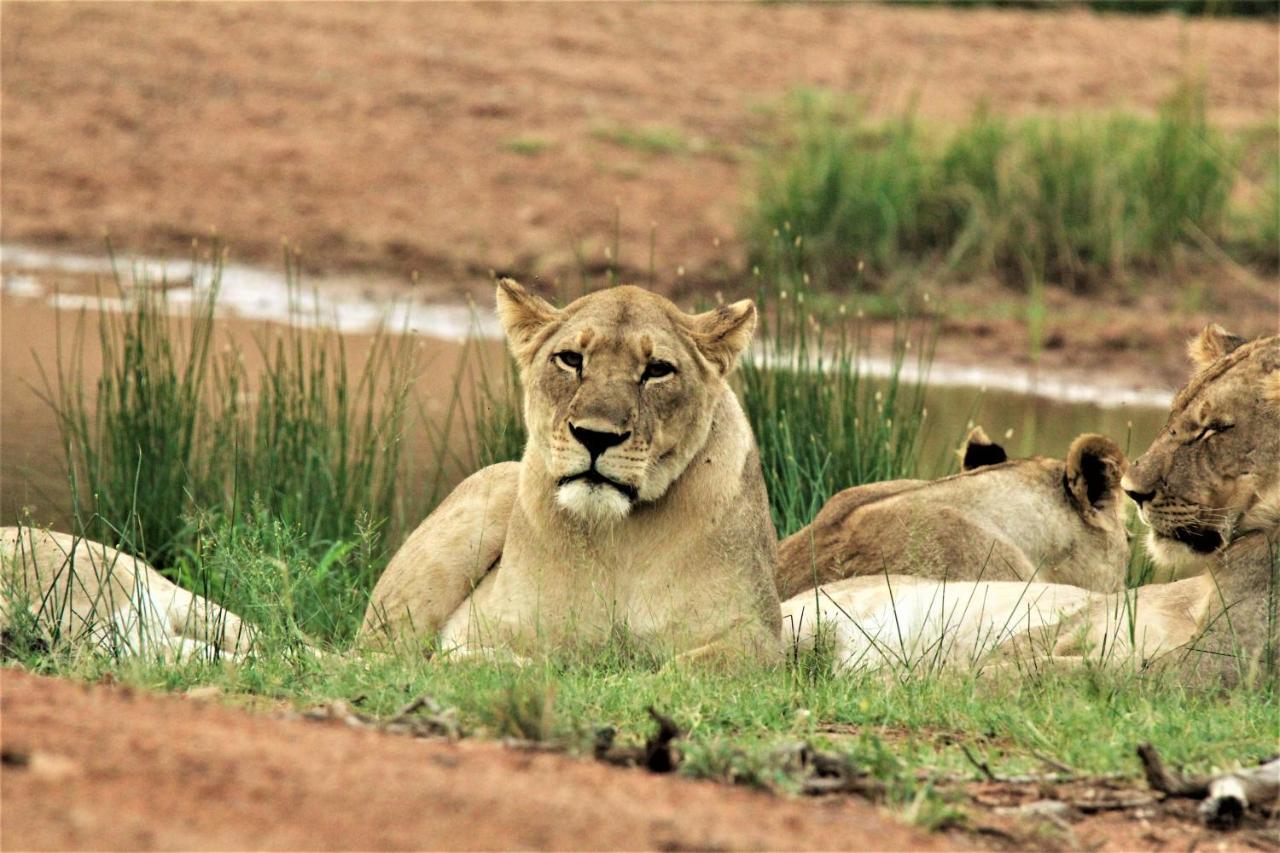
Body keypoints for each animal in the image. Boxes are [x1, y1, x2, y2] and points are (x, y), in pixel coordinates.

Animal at [360, 280, 778, 666]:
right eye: (571, 359)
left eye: (658, 369)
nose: (596, 436)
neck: (619, 536)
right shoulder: (491, 625)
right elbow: (489, 658)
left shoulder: (759, 636)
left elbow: (690, 667)